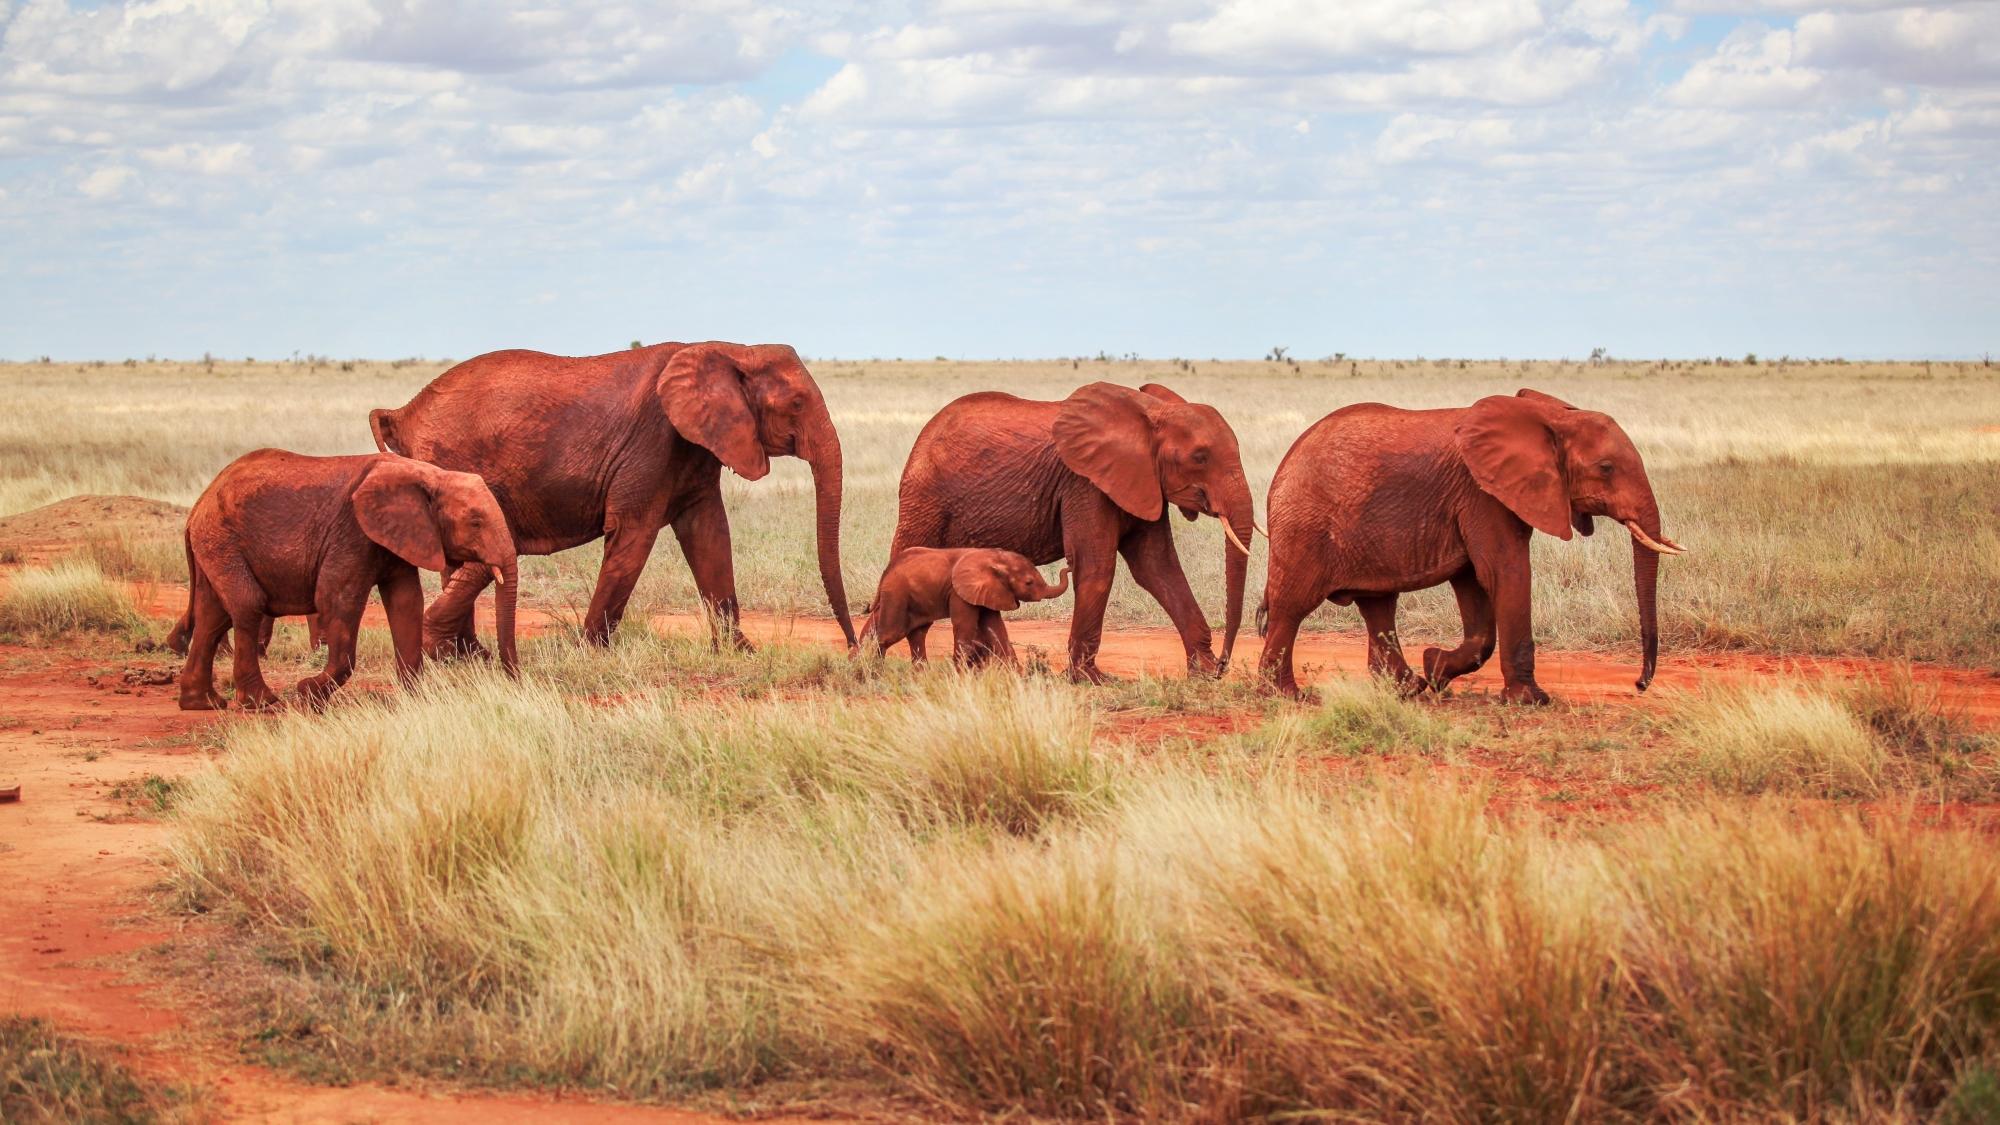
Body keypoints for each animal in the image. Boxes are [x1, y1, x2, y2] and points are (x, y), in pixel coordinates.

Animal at [175, 450, 518, 710]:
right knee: (247, 606)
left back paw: (202, 703)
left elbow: (406, 602)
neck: (430, 475)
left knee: (213, 615)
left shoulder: (398, 537)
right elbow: (339, 601)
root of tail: (198, 506)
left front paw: (416, 700)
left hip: (216, 544)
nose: (513, 679)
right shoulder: (351, 534)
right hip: (223, 540)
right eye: (476, 522)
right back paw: (262, 703)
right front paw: (308, 694)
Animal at [368, 341, 853, 655]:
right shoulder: (655, 442)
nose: (852, 649)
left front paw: (741, 653)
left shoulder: (695, 448)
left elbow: (709, 536)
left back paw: (467, 656)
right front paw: (591, 653)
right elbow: (633, 536)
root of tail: (402, 412)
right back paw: (461, 656)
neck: (734, 349)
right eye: (796, 404)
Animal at [858, 547, 1070, 668]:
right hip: (897, 595)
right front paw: (959, 678)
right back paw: (870, 673)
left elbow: (997, 631)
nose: (1069, 565)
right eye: (1028, 583)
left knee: (916, 633)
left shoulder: (988, 591)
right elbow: (965, 629)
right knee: (889, 635)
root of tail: (888, 569)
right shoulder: (959, 593)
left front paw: (1017, 677)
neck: (994, 558)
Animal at [890, 381, 1258, 683]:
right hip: (925, 495)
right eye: (1200, 457)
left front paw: (1203, 673)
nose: (1224, 664)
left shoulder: (1143, 483)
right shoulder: (1085, 484)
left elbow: (1158, 569)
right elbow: (1097, 567)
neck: (1150, 412)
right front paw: (1092, 680)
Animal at [1257, 388, 1685, 702]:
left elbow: (1474, 583)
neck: (1549, 417)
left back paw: (1408, 689)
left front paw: (1436, 669)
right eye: (1607, 469)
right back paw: (1287, 696)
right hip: (1304, 528)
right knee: (1292, 606)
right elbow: (1504, 571)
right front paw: (1531, 701)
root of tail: (1282, 467)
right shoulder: (1484, 495)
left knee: (1378, 606)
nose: (1639, 685)